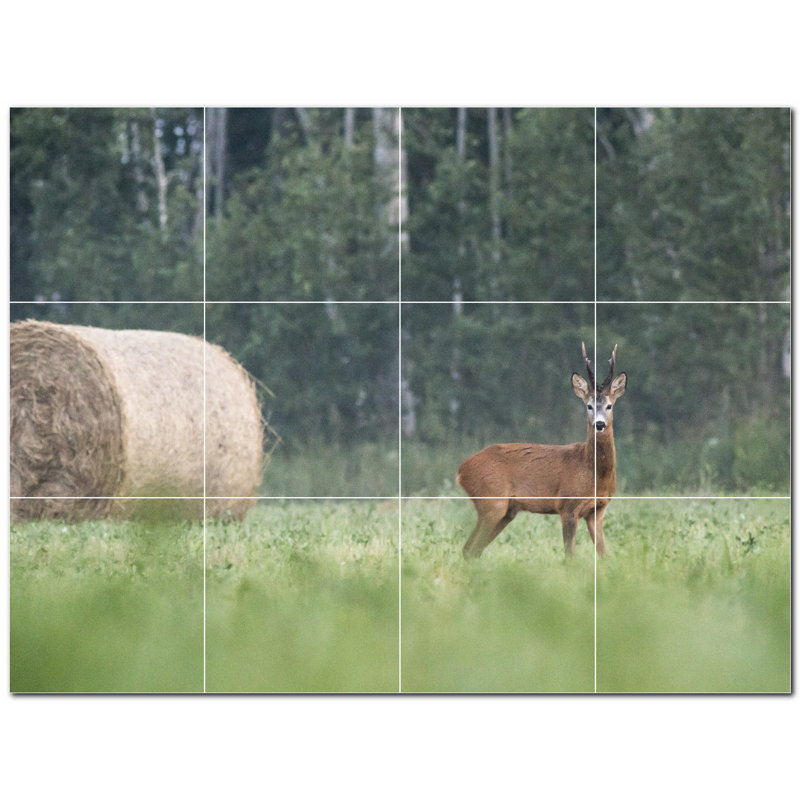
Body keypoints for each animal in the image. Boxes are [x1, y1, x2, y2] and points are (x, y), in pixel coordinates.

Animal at [457, 343, 626, 559]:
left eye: (609, 405)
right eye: (589, 406)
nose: (599, 424)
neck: (593, 472)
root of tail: (462, 470)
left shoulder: (597, 512)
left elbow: (605, 555)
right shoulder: (567, 506)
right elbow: (570, 556)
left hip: (506, 511)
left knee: (472, 550)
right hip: (492, 501)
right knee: (470, 548)